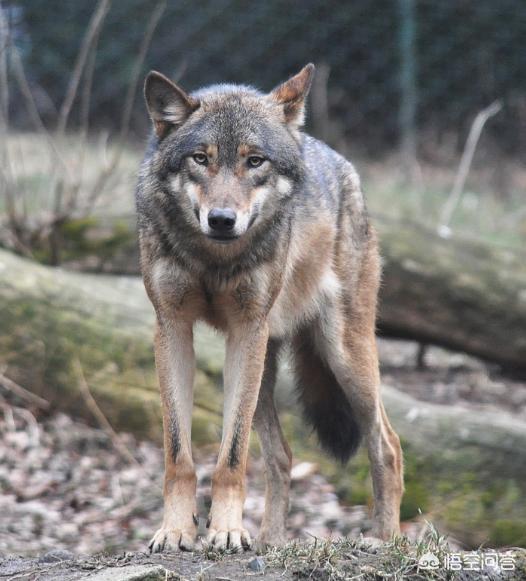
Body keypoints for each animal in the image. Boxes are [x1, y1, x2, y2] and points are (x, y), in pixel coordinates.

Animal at [136, 63, 404, 552]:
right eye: (200, 159)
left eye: (254, 161)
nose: (222, 220)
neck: (215, 260)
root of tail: (340, 162)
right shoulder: (171, 328)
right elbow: (179, 453)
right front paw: (177, 530)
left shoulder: (247, 329)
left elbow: (232, 455)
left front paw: (225, 531)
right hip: (262, 368)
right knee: (282, 455)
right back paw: (271, 542)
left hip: (341, 355)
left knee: (387, 444)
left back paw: (385, 540)